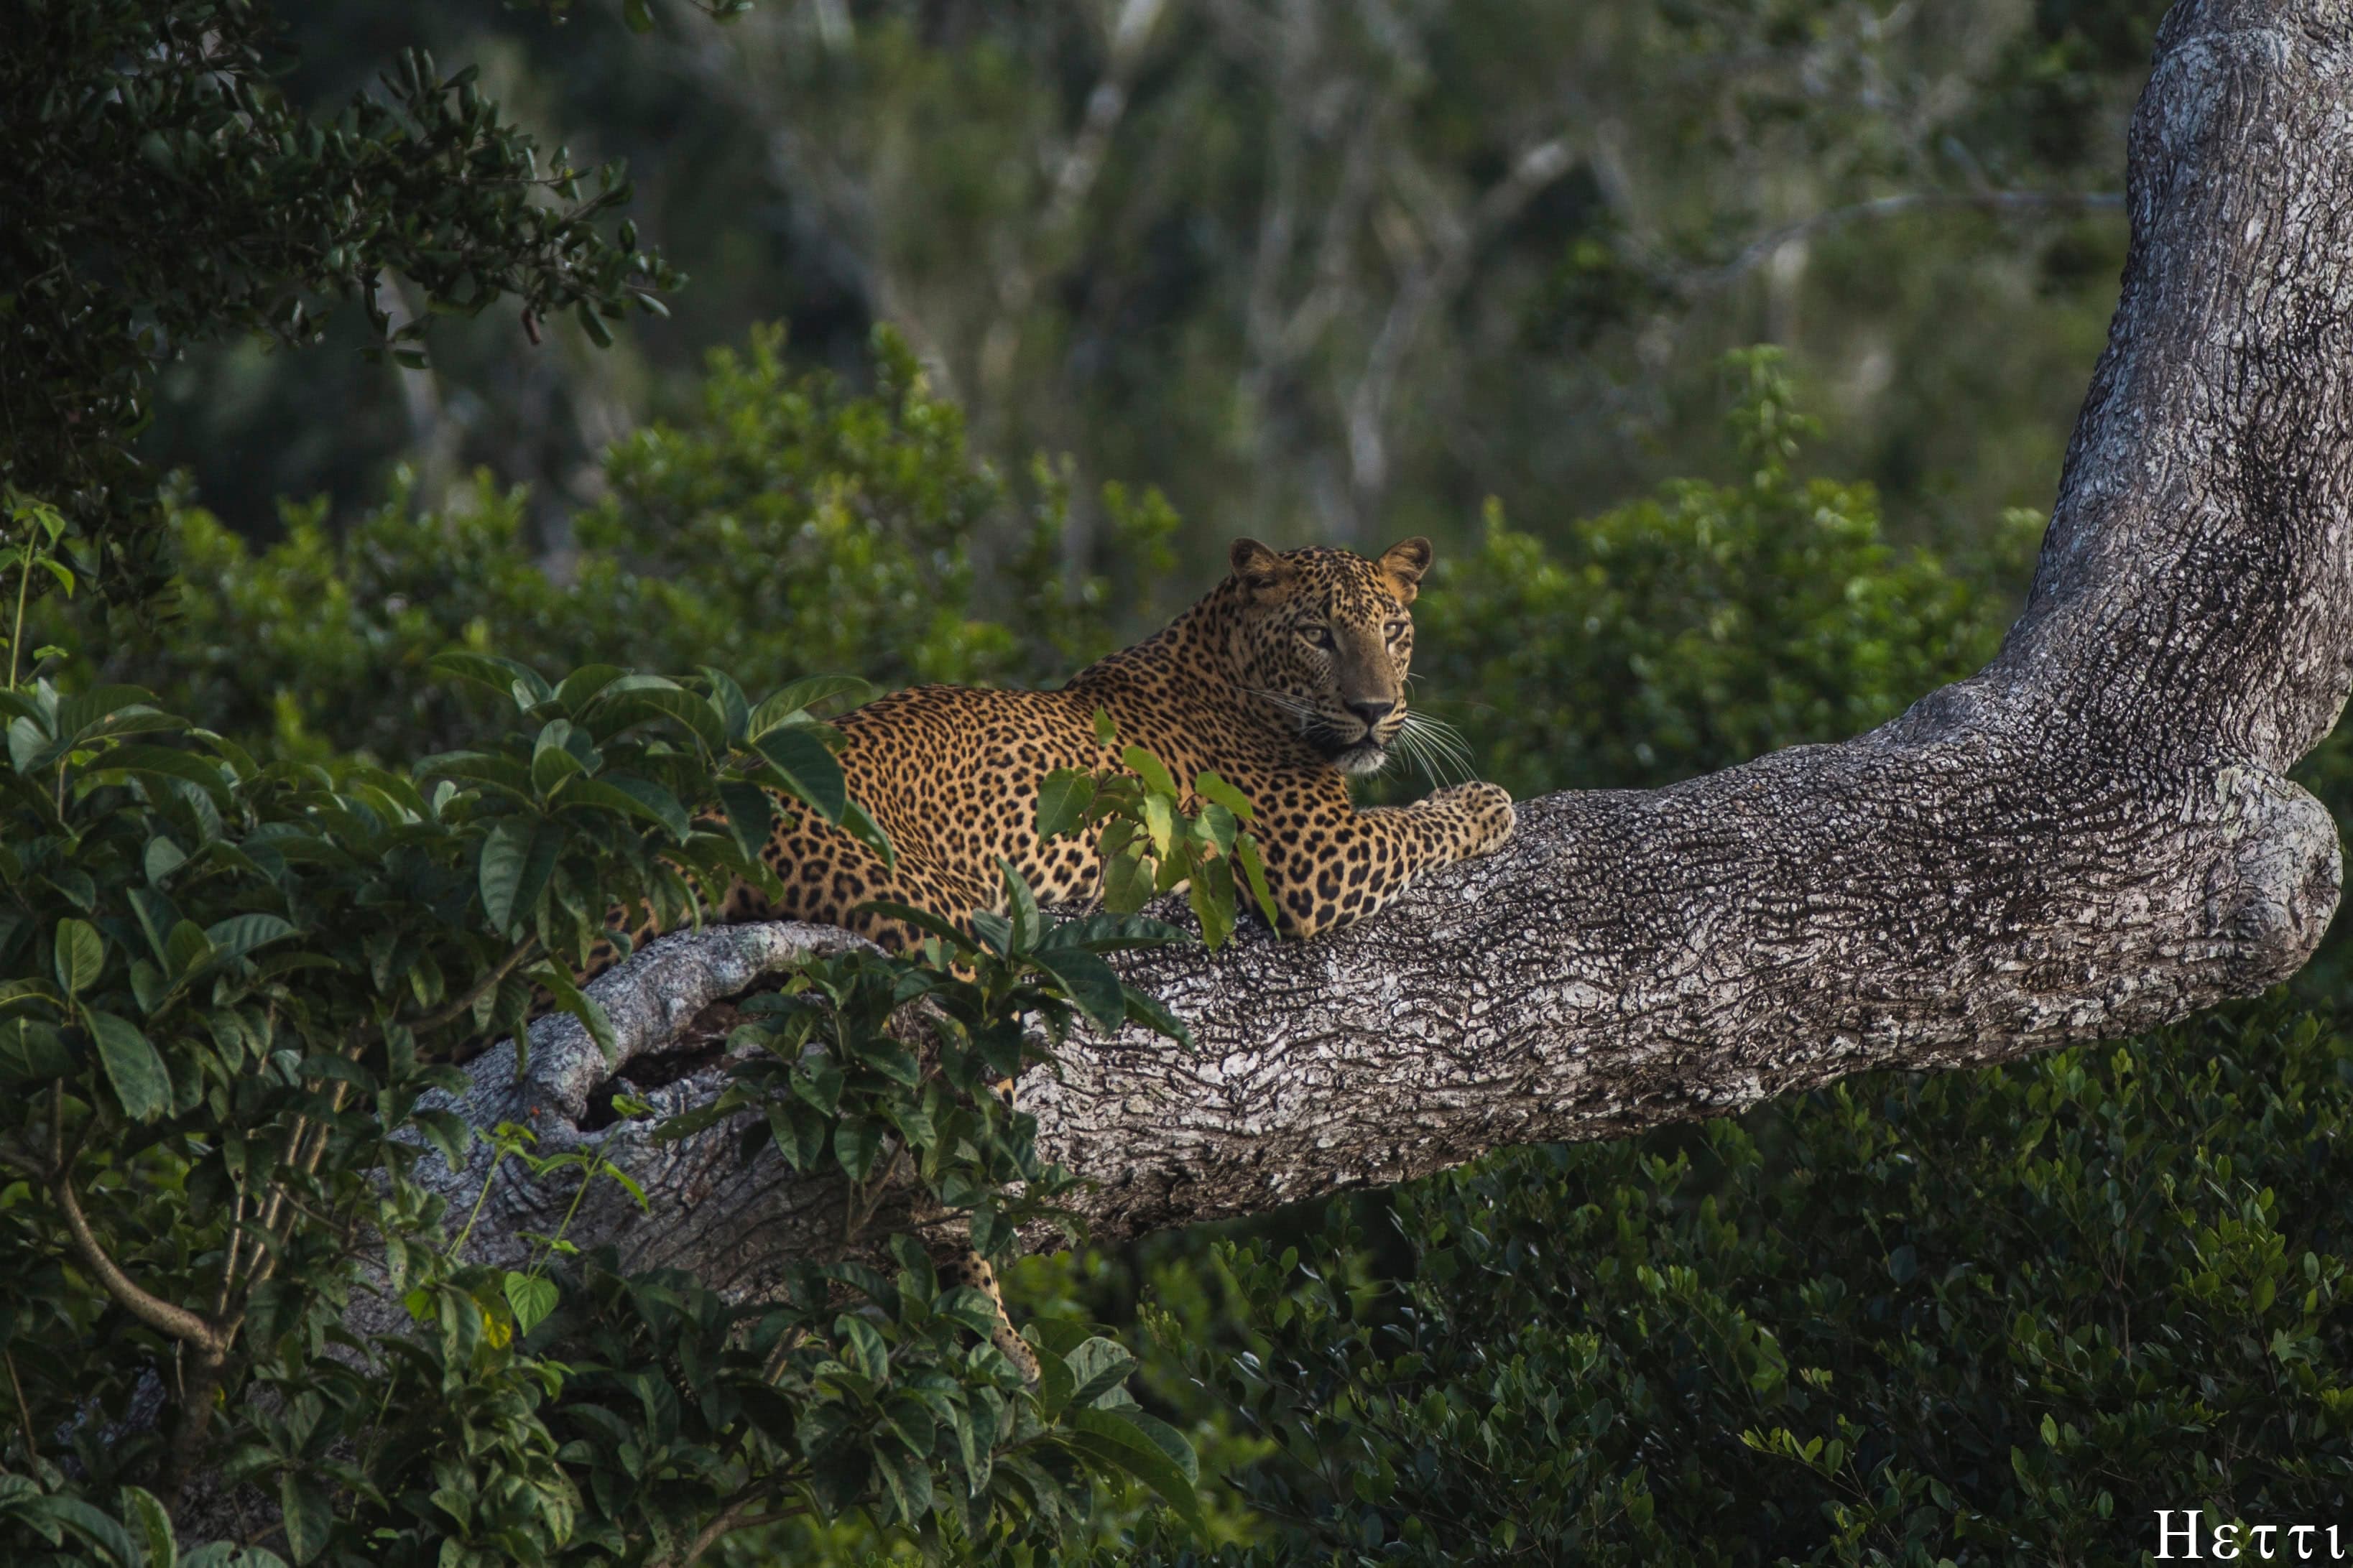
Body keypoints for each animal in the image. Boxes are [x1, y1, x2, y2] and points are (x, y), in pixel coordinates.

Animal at [581, 535, 1516, 1380]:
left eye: (1392, 630)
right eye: (1319, 634)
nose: (1374, 708)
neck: (1227, 660)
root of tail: (722, 809)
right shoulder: (1312, 858)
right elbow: (1416, 822)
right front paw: (1489, 801)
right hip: (953, 957)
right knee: (935, 1182)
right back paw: (1001, 1347)